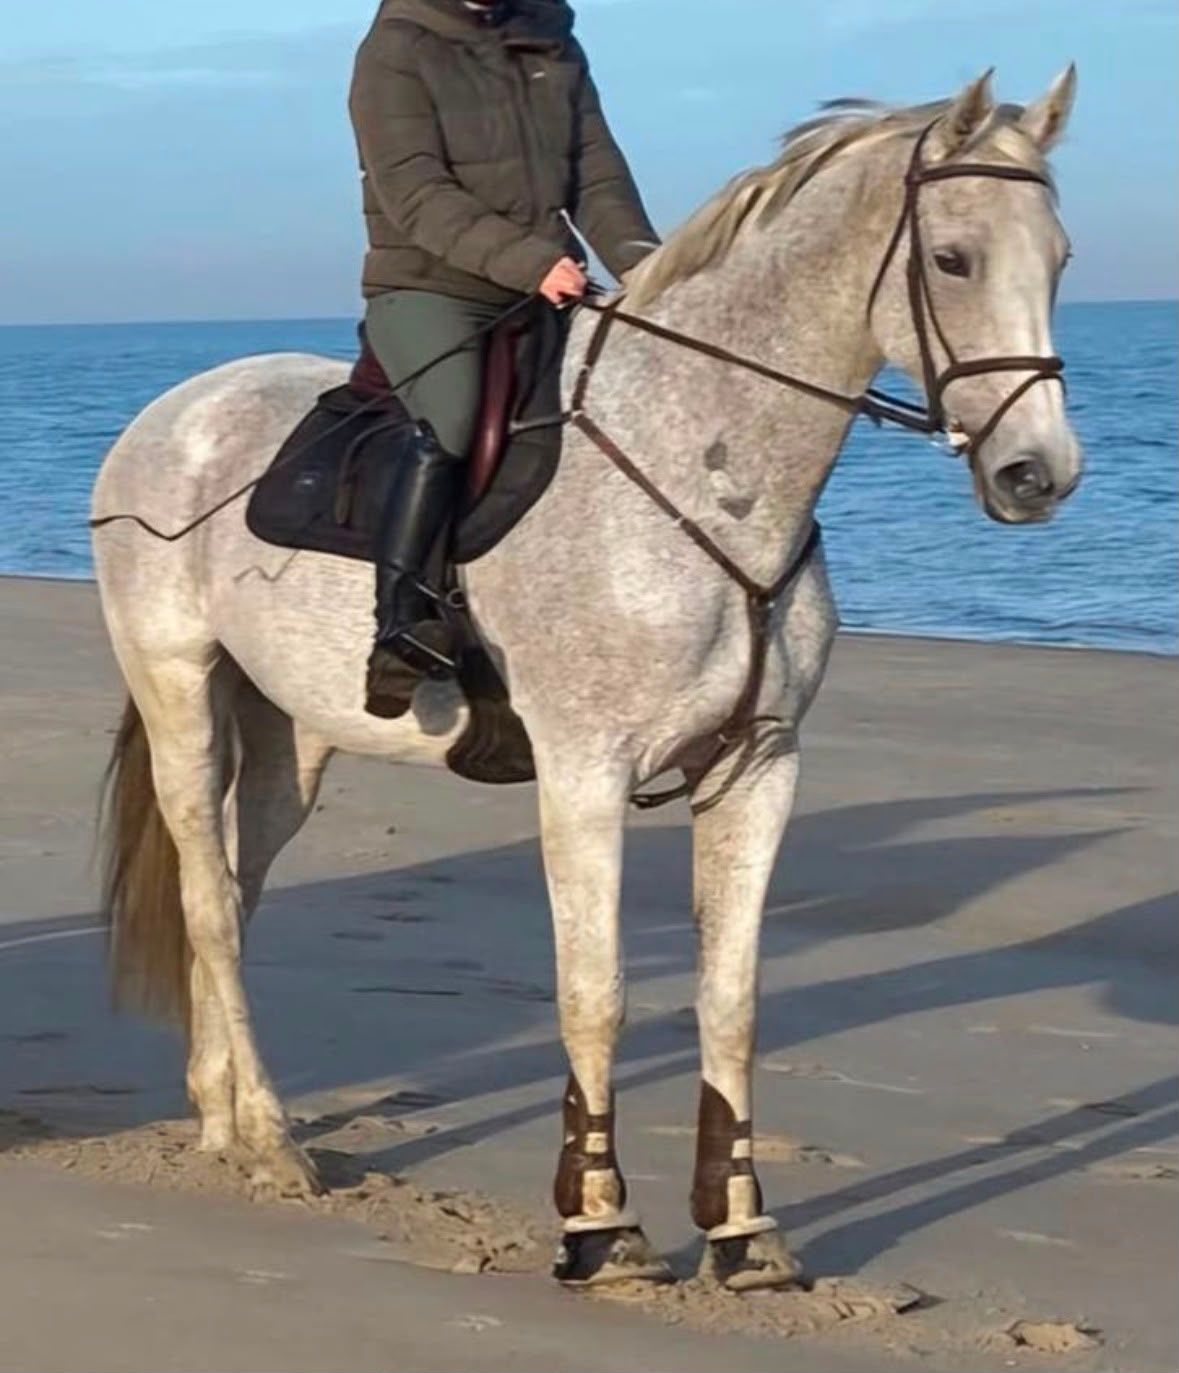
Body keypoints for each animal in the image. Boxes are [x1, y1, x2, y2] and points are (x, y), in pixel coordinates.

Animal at [92, 71, 1080, 1290]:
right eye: (951, 258)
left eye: (1062, 256)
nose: (1039, 475)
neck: (707, 473)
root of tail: (171, 413)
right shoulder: (583, 777)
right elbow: (594, 992)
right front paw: (598, 1223)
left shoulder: (759, 770)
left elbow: (731, 1000)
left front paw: (742, 1231)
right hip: (180, 695)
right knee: (209, 898)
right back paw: (273, 1139)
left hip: (290, 741)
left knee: (228, 887)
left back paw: (226, 1117)